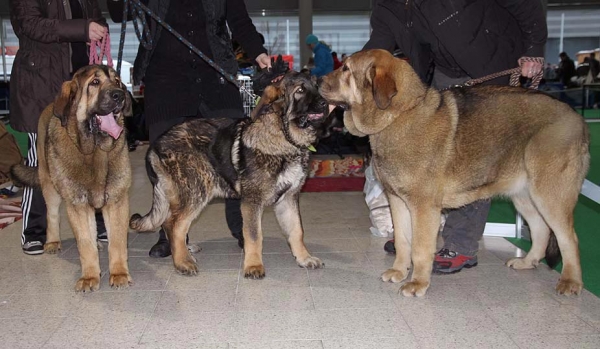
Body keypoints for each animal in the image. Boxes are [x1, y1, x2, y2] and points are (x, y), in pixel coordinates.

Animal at [10, 65, 134, 290]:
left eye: (118, 82)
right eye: (94, 83)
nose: (119, 95)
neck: (94, 151)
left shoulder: (116, 201)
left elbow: (117, 241)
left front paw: (119, 273)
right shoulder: (77, 204)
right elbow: (84, 243)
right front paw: (90, 277)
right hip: (49, 185)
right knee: (51, 215)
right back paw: (52, 242)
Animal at [322, 49, 588, 296]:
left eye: (346, 69)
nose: (318, 81)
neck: (398, 114)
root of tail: (577, 119)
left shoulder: (423, 207)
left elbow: (420, 248)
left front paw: (418, 283)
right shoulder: (397, 201)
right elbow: (403, 241)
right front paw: (399, 271)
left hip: (549, 196)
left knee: (569, 239)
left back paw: (570, 282)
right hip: (524, 196)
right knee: (541, 230)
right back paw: (527, 262)